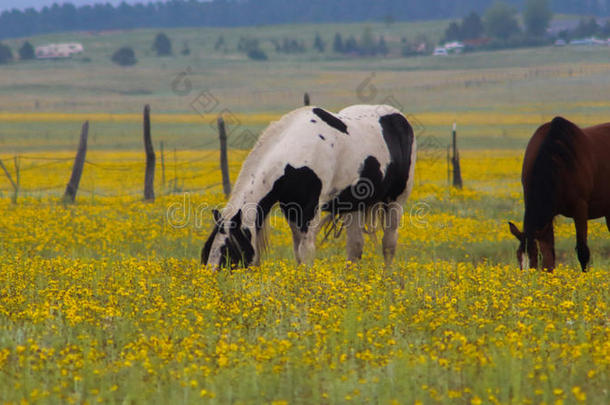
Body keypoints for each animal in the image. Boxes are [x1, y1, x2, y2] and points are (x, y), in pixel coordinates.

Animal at [202, 104, 416, 268]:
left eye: (228, 251)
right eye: (207, 253)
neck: (295, 155)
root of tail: (400, 119)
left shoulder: (309, 210)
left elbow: (306, 252)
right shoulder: (291, 209)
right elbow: (298, 252)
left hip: (395, 200)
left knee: (388, 244)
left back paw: (387, 281)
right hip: (354, 204)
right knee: (355, 247)